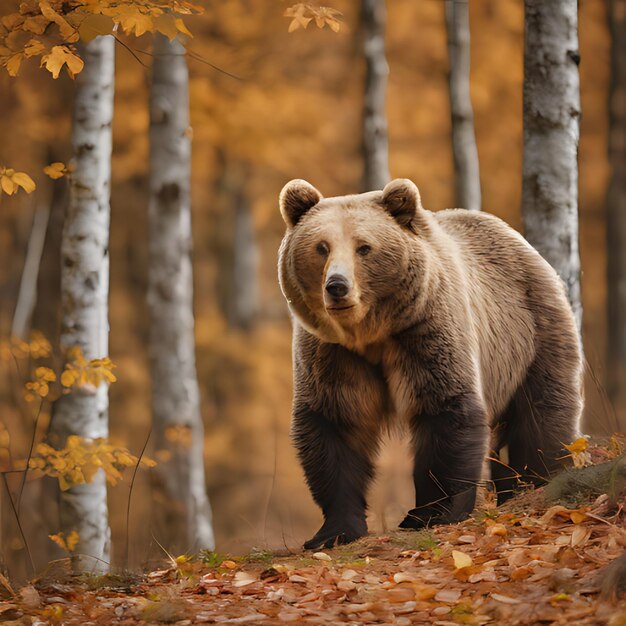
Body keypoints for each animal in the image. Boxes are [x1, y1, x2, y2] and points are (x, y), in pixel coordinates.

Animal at [276, 178, 580, 548]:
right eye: (321, 247)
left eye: (364, 247)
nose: (337, 286)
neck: (371, 332)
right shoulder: (332, 352)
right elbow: (336, 421)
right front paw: (334, 530)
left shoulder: (426, 327)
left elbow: (444, 408)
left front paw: (432, 513)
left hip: (532, 329)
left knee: (541, 410)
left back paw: (536, 479)